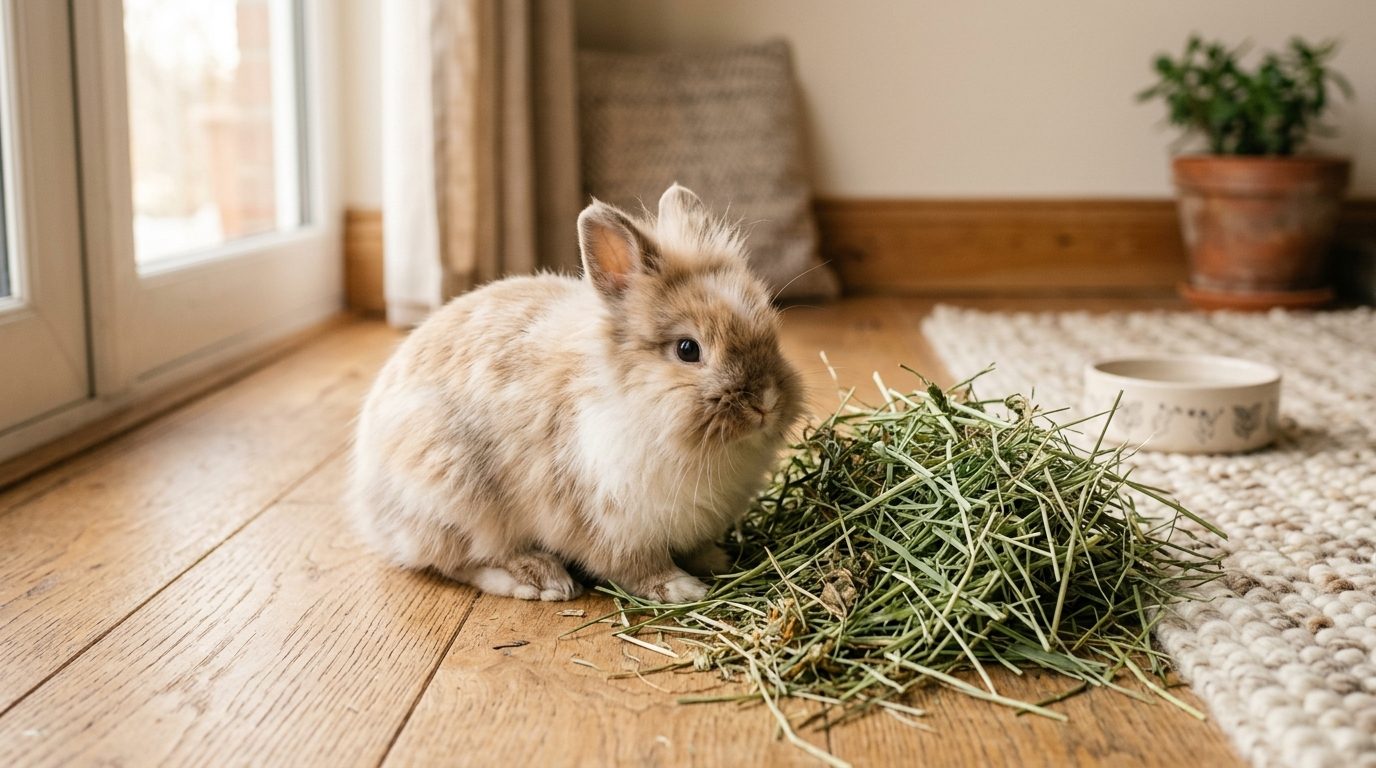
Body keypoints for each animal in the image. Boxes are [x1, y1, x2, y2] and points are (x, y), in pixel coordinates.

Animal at [349, 184, 804, 603]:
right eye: (687, 349)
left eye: (771, 332)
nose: (766, 404)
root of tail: (369, 508)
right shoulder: (608, 522)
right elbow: (635, 566)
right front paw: (682, 590)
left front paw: (717, 560)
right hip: (453, 495)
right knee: (456, 559)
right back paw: (540, 579)